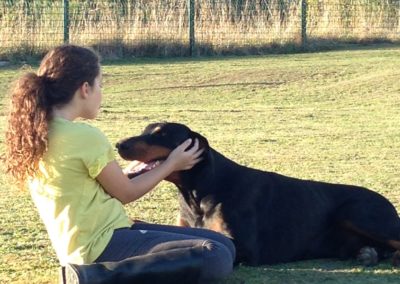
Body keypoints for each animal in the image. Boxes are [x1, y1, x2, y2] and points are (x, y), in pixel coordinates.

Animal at [115, 122, 400, 266]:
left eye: (161, 133)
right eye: (145, 130)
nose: (119, 144)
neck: (197, 191)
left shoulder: (245, 248)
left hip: (356, 211)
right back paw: (370, 254)